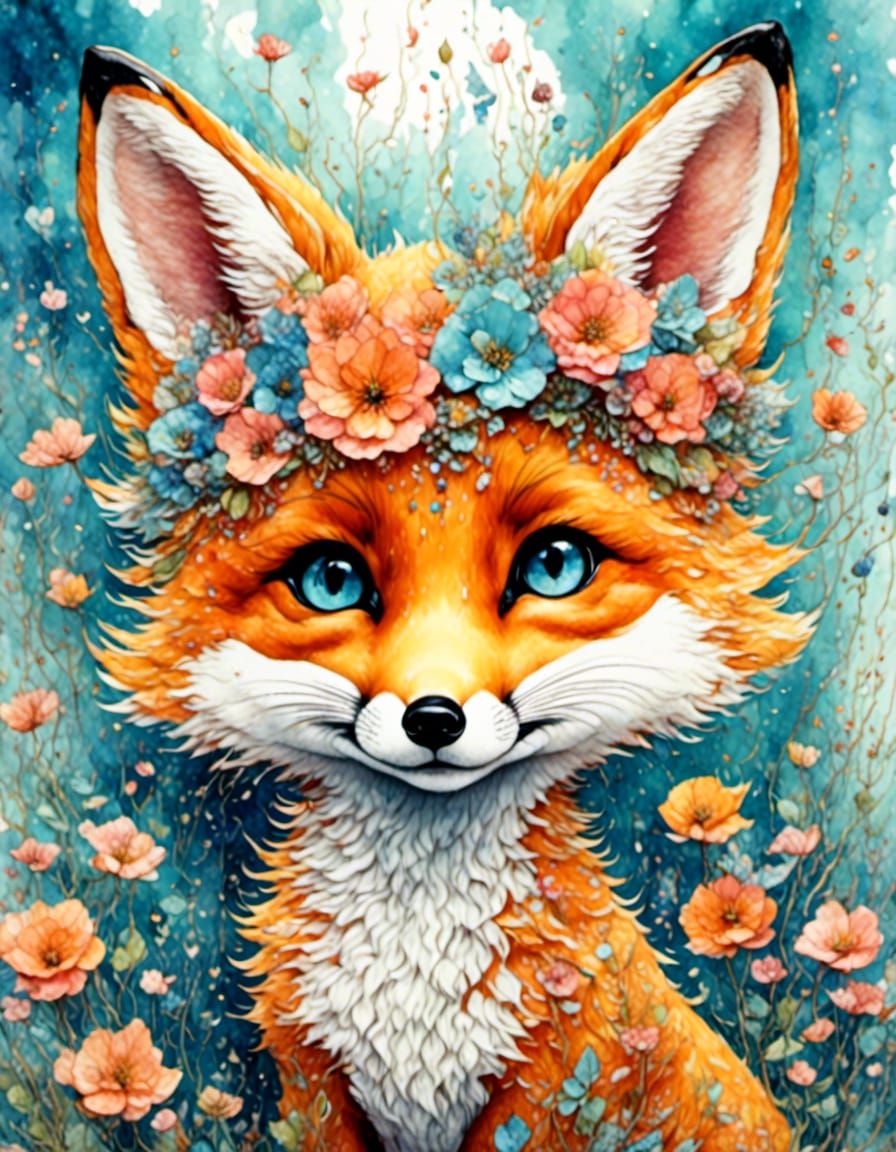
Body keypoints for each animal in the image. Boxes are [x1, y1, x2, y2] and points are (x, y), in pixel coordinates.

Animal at [77, 19, 809, 1152]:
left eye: (553, 566)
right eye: (332, 580)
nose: (432, 718)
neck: (414, 995)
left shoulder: (558, 1081)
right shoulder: (313, 1086)